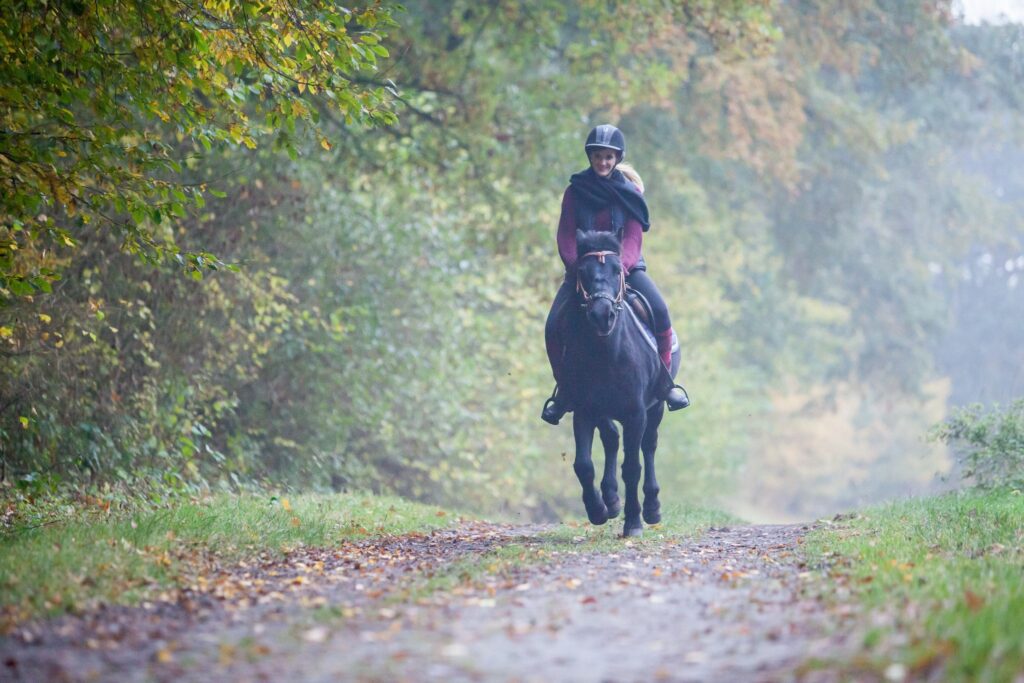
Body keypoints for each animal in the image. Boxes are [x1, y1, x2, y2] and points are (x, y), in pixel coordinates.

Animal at [561, 232, 679, 536]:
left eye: (617, 270)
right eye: (583, 271)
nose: (602, 315)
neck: (607, 353)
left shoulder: (636, 413)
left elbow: (633, 467)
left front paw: (634, 522)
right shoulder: (585, 410)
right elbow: (583, 464)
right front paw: (598, 510)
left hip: (656, 406)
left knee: (648, 445)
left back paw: (651, 507)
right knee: (612, 440)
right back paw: (611, 499)